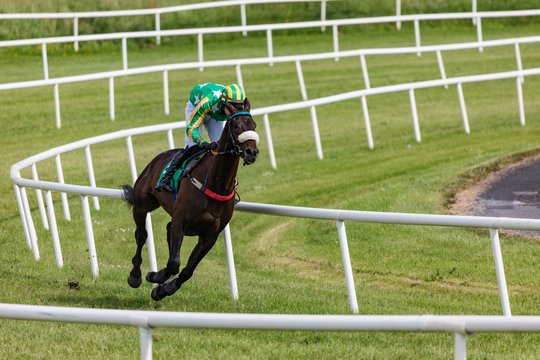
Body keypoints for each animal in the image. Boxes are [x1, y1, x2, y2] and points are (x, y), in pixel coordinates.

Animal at [121, 99, 260, 300]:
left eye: (254, 125)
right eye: (235, 125)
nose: (251, 152)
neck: (216, 182)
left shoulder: (210, 236)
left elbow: (187, 270)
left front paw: (164, 289)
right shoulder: (181, 221)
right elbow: (173, 263)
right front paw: (155, 276)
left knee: (167, 229)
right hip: (142, 205)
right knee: (141, 235)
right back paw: (135, 275)